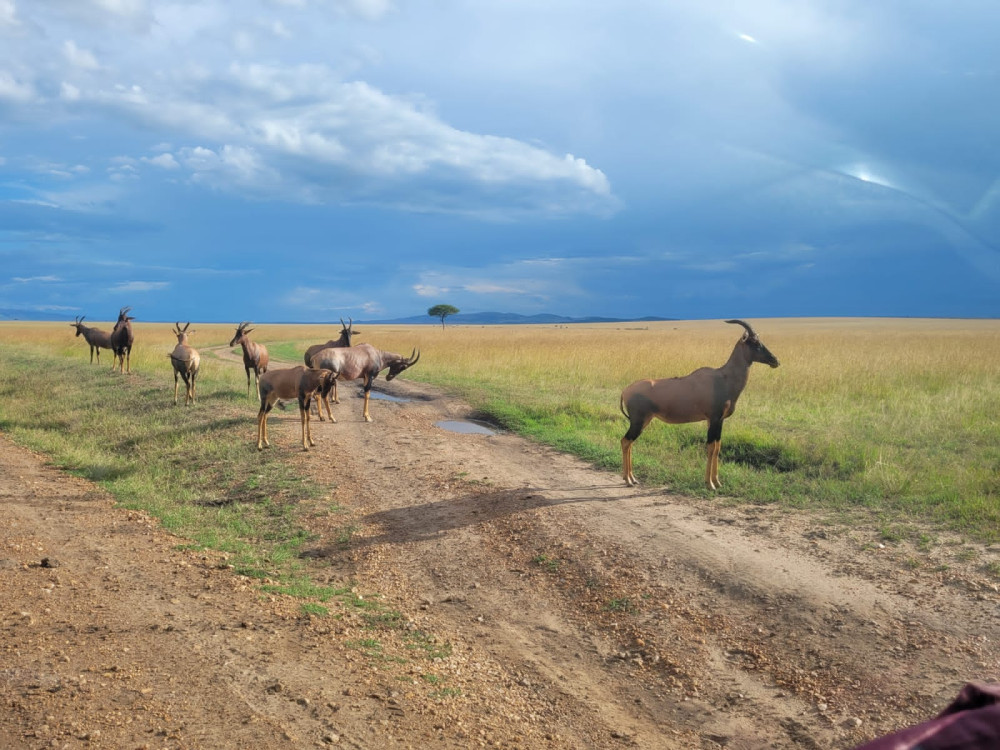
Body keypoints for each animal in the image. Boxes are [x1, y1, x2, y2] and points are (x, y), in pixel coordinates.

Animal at [616, 322, 780, 494]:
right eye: (754, 342)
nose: (775, 360)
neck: (723, 378)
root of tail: (625, 391)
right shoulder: (714, 419)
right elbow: (711, 447)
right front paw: (710, 484)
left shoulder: (718, 421)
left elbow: (717, 447)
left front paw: (717, 482)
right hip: (638, 422)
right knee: (625, 441)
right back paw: (628, 480)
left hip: (643, 422)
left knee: (629, 443)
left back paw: (632, 478)